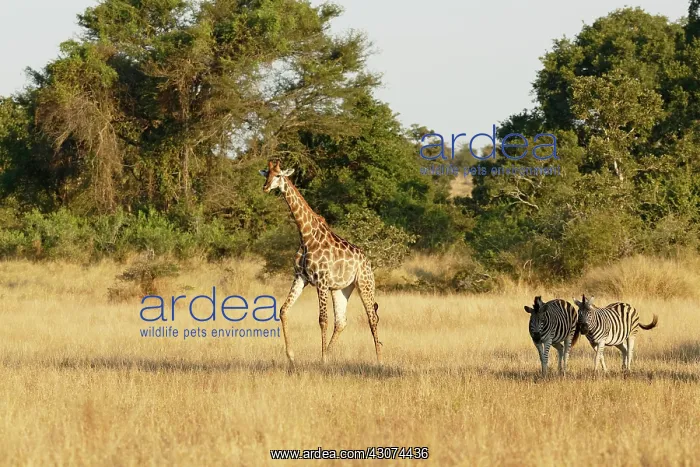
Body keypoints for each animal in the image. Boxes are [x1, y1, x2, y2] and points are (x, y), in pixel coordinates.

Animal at [259, 160, 382, 366]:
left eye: (279, 175)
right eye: (267, 174)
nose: (266, 187)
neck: (306, 236)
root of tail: (367, 261)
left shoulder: (321, 281)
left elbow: (322, 319)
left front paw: (322, 359)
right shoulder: (300, 277)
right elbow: (283, 310)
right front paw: (291, 356)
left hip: (365, 283)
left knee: (372, 317)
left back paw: (379, 360)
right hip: (342, 288)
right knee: (341, 321)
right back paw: (331, 354)